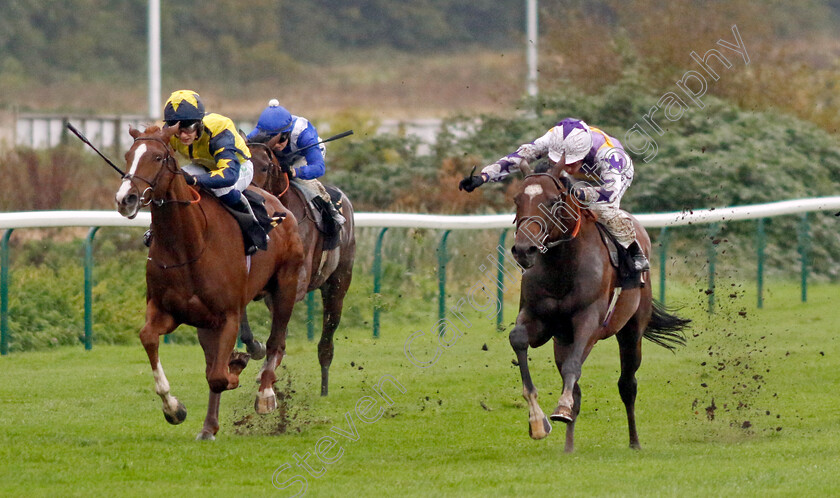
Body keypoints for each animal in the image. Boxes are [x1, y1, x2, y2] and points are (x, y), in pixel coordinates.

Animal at [114, 125, 306, 440]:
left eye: (158, 157)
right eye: (128, 156)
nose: (125, 198)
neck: (188, 244)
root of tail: (279, 205)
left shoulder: (229, 314)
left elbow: (218, 375)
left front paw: (237, 366)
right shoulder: (168, 311)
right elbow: (150, 338)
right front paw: (174, 408)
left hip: (285, 286)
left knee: (276, 341)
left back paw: (265, 394)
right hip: (206, 322)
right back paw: (209, 427)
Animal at [241, 136, 356, 396]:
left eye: (265, 167)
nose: (249, 195)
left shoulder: (296, 283)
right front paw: (255, 347)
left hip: (338, 286)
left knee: (327, 337)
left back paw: (323, 387)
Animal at [508, 155, 684, 452]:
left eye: (553, 200)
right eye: (517, 199)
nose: (524, 250)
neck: (561, 266)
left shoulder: (589, 320)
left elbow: (574, 368)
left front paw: (560, 409)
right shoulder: (539, 320)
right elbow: (518, 338)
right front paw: (537, 422)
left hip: (631, 331)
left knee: (627, 384)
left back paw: (634, 442)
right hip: (562, 340)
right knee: (576, 386)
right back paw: (568, 446)